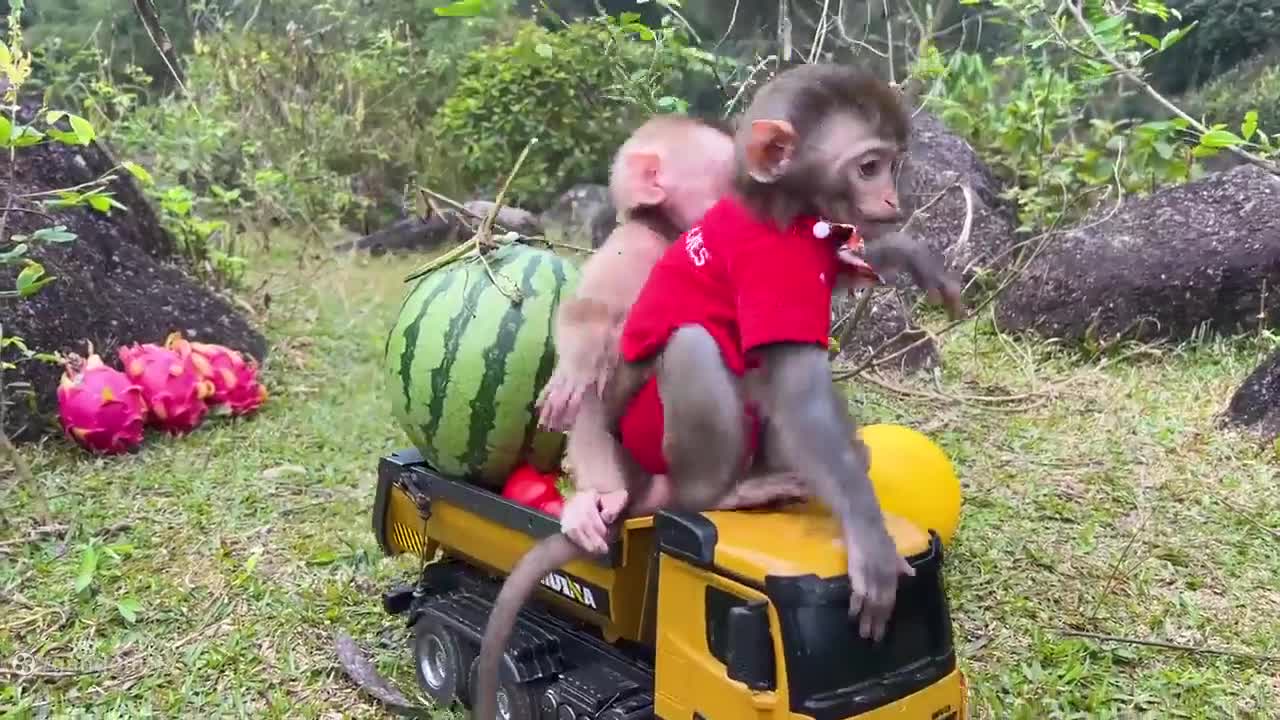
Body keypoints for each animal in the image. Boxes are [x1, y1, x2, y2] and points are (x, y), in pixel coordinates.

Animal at [472, 64, 963, 720]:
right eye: (868, 166)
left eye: (891, 165)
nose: (891, 200)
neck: (779, 212)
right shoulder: (746, 261)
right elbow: (794, 391)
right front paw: (870, 541)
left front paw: (904, 254)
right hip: (658, 442)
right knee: (697, 344)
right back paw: (723, 492)